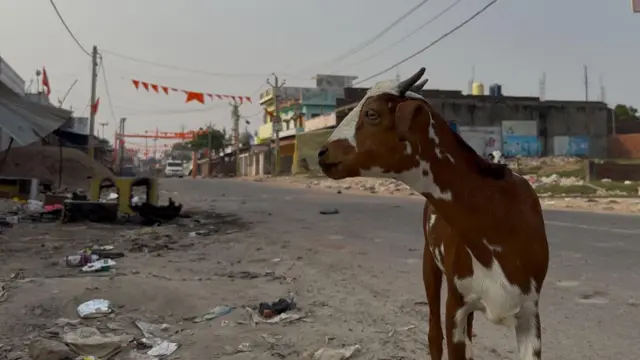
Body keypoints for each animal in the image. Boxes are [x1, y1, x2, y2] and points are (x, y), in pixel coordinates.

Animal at [318, 68, 548, 360]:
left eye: (371, 113)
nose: (322, 152)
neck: (498, 218)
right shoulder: (456, 303)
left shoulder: (530, 312)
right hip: (429, 262)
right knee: (434, 334)